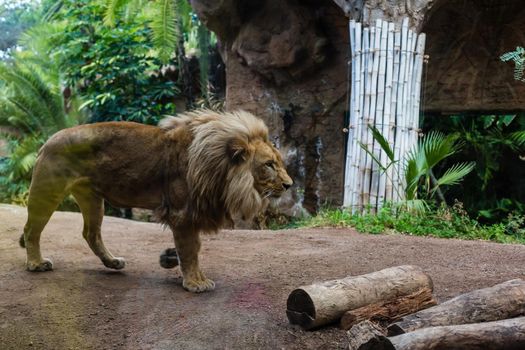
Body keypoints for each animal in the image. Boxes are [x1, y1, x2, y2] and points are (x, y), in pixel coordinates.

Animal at [18, 109, 292, 292]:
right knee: (32, 229)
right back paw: (36, 263)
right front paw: (196, 282)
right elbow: (191, 249)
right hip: (47, 192)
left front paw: (170, 258)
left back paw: (112, 262)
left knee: (90, 233)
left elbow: (191, 248)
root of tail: (47, 141)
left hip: (92, 198)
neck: (219, 169)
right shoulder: (182, 214)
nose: (289, 185)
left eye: (279, 162)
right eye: (269, 165)